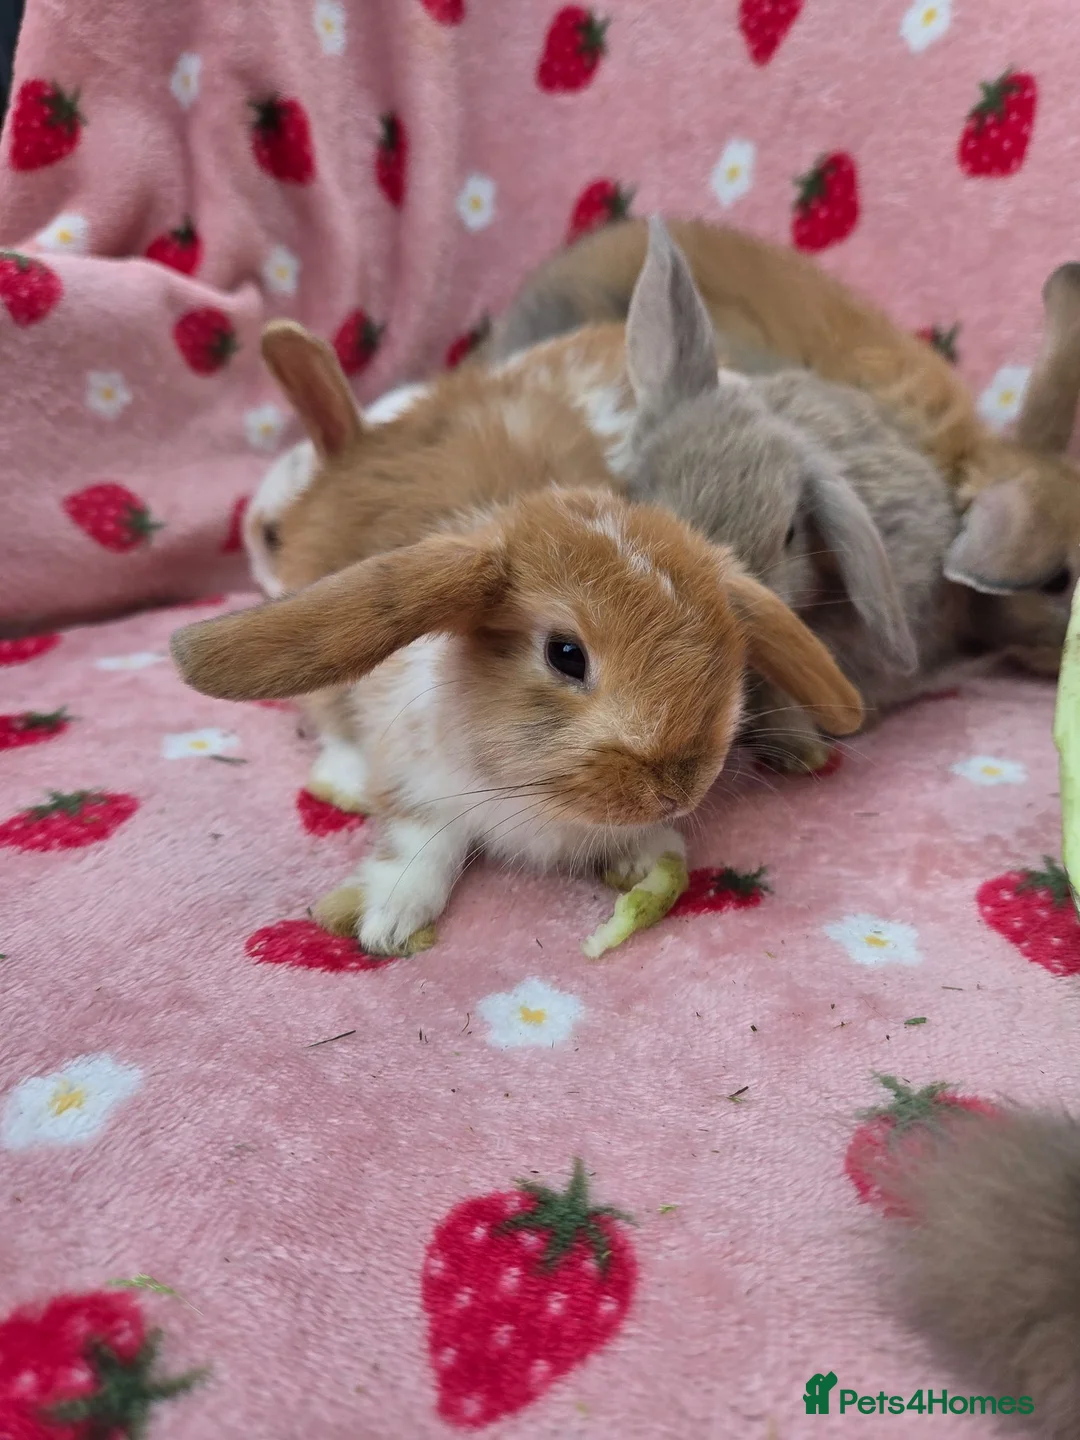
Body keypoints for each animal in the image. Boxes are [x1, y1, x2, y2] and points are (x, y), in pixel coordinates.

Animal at [170, 486, 864, 956]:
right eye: (566, 654)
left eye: (726, 651)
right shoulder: (419, 784)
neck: (538, 797)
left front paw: (645, 861)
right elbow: (422, 846)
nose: (677, 789)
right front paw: (389, 922)